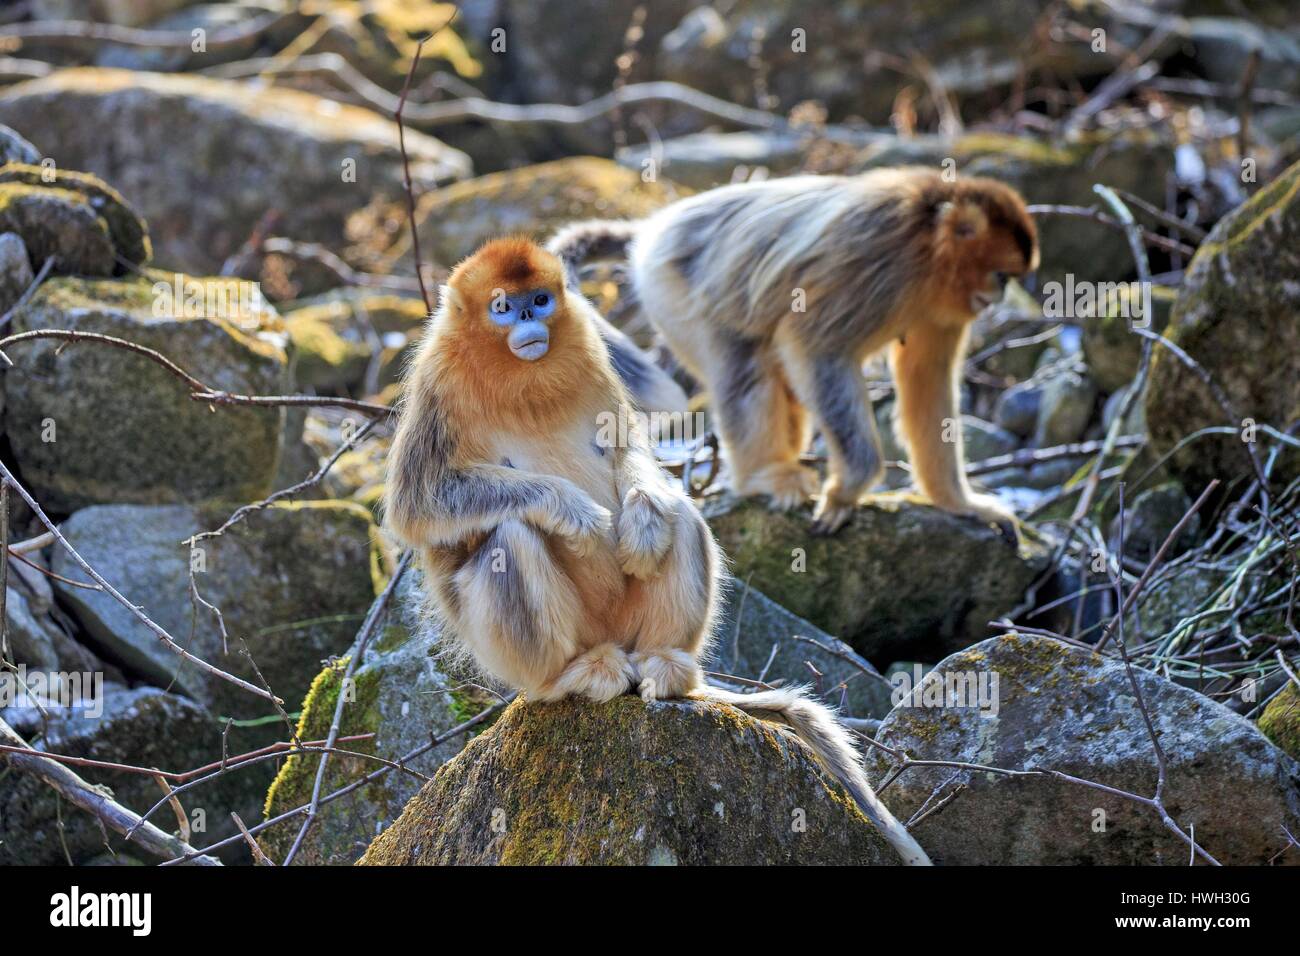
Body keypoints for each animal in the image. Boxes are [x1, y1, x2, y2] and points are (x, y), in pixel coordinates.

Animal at [383, 236, 931, 866]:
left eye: (540, 299)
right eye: (502, 307)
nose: (526, 320)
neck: (516, 373)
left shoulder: (591, 355)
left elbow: (632, 455)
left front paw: (642, 513)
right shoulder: (439, 381)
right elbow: (418, 505)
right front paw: (572, 510)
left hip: (629, 622)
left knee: (681, 513)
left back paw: (666, 666)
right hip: (526, 647)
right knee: (511, 537)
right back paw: (567, 678)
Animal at [548, 166, 1039, 535]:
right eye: (1002, 276)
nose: (1000, 296)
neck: (928, 235)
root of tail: (654, 227)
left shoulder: (943, 307)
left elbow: (928, 377)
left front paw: (957, 501)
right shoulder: (881, 259)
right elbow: (815, 347)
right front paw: (851, 485)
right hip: (670, 286)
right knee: (745, 362)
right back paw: (763, 476)